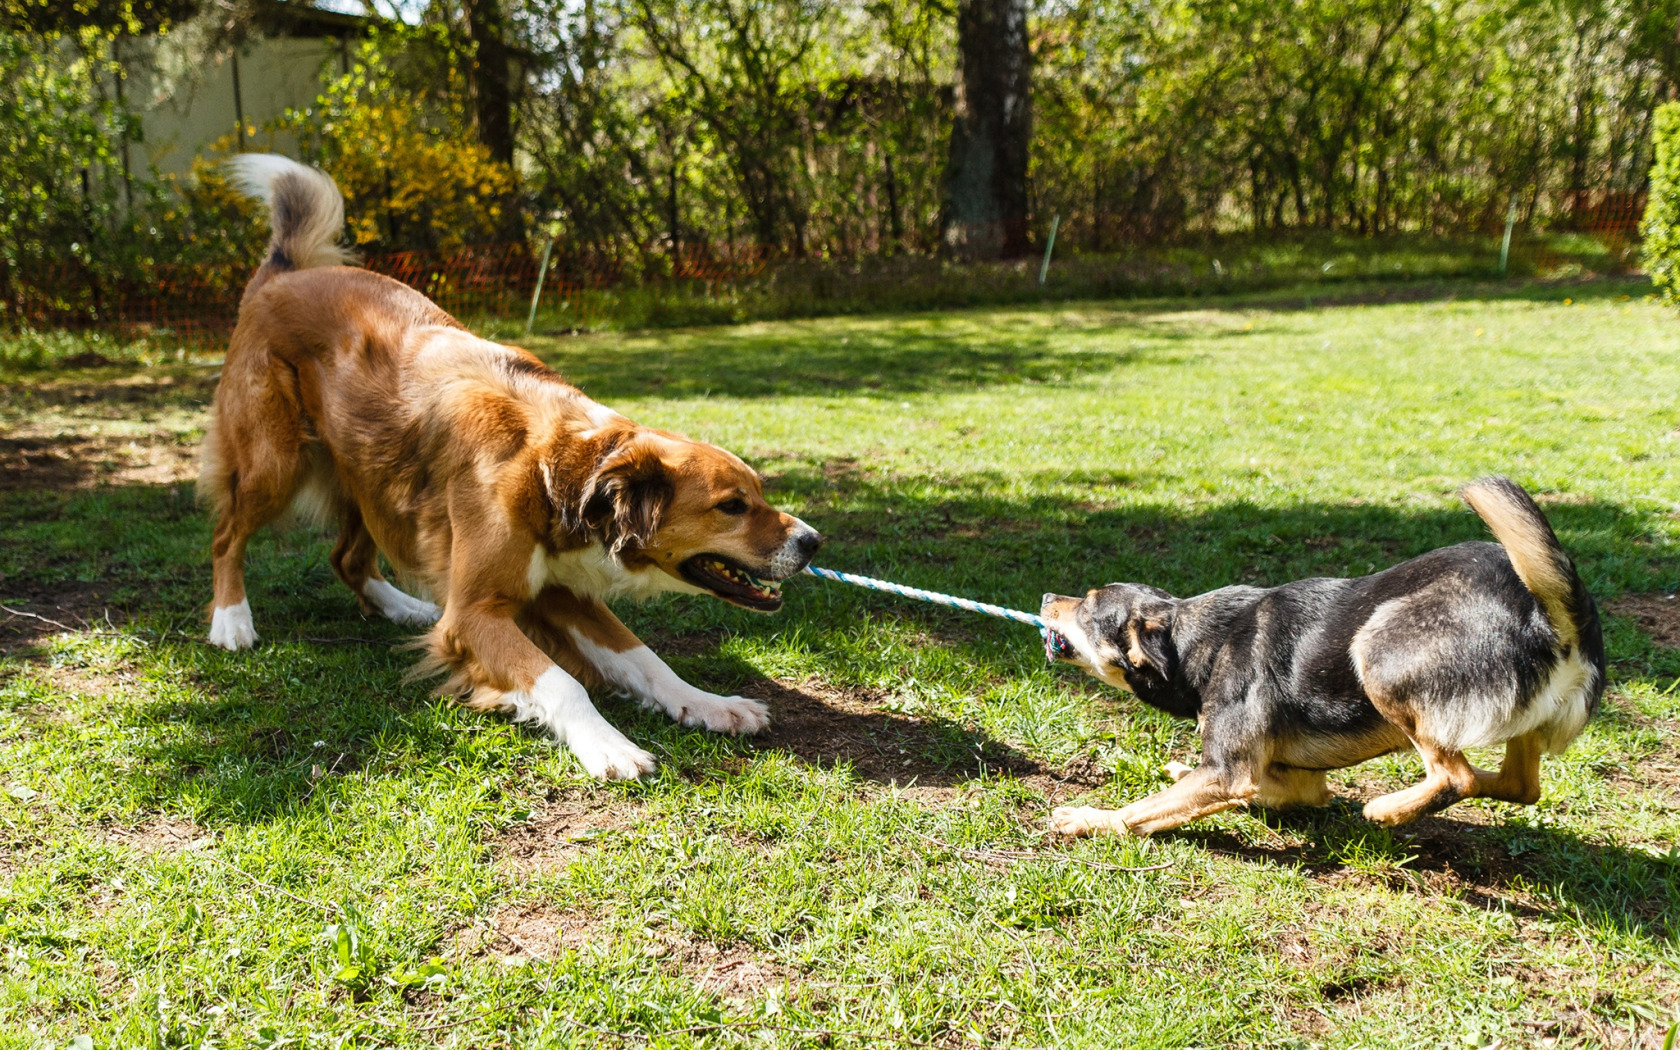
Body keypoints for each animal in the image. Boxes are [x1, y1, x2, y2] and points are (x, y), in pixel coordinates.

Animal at [199, 155, 816, 779]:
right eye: (731, 506)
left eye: (761, 492)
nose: (812, 542)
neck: (560, 470)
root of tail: (281, 274)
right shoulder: (474, 614)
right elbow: (564, 682)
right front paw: (609, 745)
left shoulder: (563, 593)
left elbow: (644, 659)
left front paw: (709, 704)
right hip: (275, 462)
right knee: (228, 536)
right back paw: (232, 621)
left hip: (372, 475)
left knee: (347, 558)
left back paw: (403, 609)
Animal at [1041, 480, 1606, 836]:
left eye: (1087, 605)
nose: (1046, 598)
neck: (1192, 643)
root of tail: (1557, 617)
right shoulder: (1294, 780)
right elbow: (1245, 793)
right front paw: (1179, 775)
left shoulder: (1229, 773)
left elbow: (1141, 811)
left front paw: (1092, 820)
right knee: (1519, 786)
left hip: (1378, 648)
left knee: (1456, 777)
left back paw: (1387, 809)